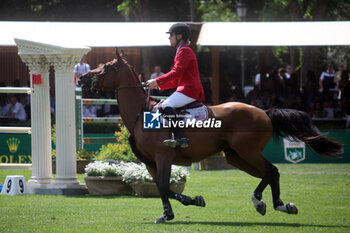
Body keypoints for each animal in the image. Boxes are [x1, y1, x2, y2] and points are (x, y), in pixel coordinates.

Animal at [78, 51, 344, 224]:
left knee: (272, 171)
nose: (81, 78)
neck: (140, 113)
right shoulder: (150, 162)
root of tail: (264, 111)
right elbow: (163, 188)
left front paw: (180, 208)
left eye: (106, 67)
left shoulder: (163, 157)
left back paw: (269, 202)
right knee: (268, 174)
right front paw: (175, 209)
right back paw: (271, 203)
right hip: (235, 157)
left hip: (248, 152)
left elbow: (164, 186)